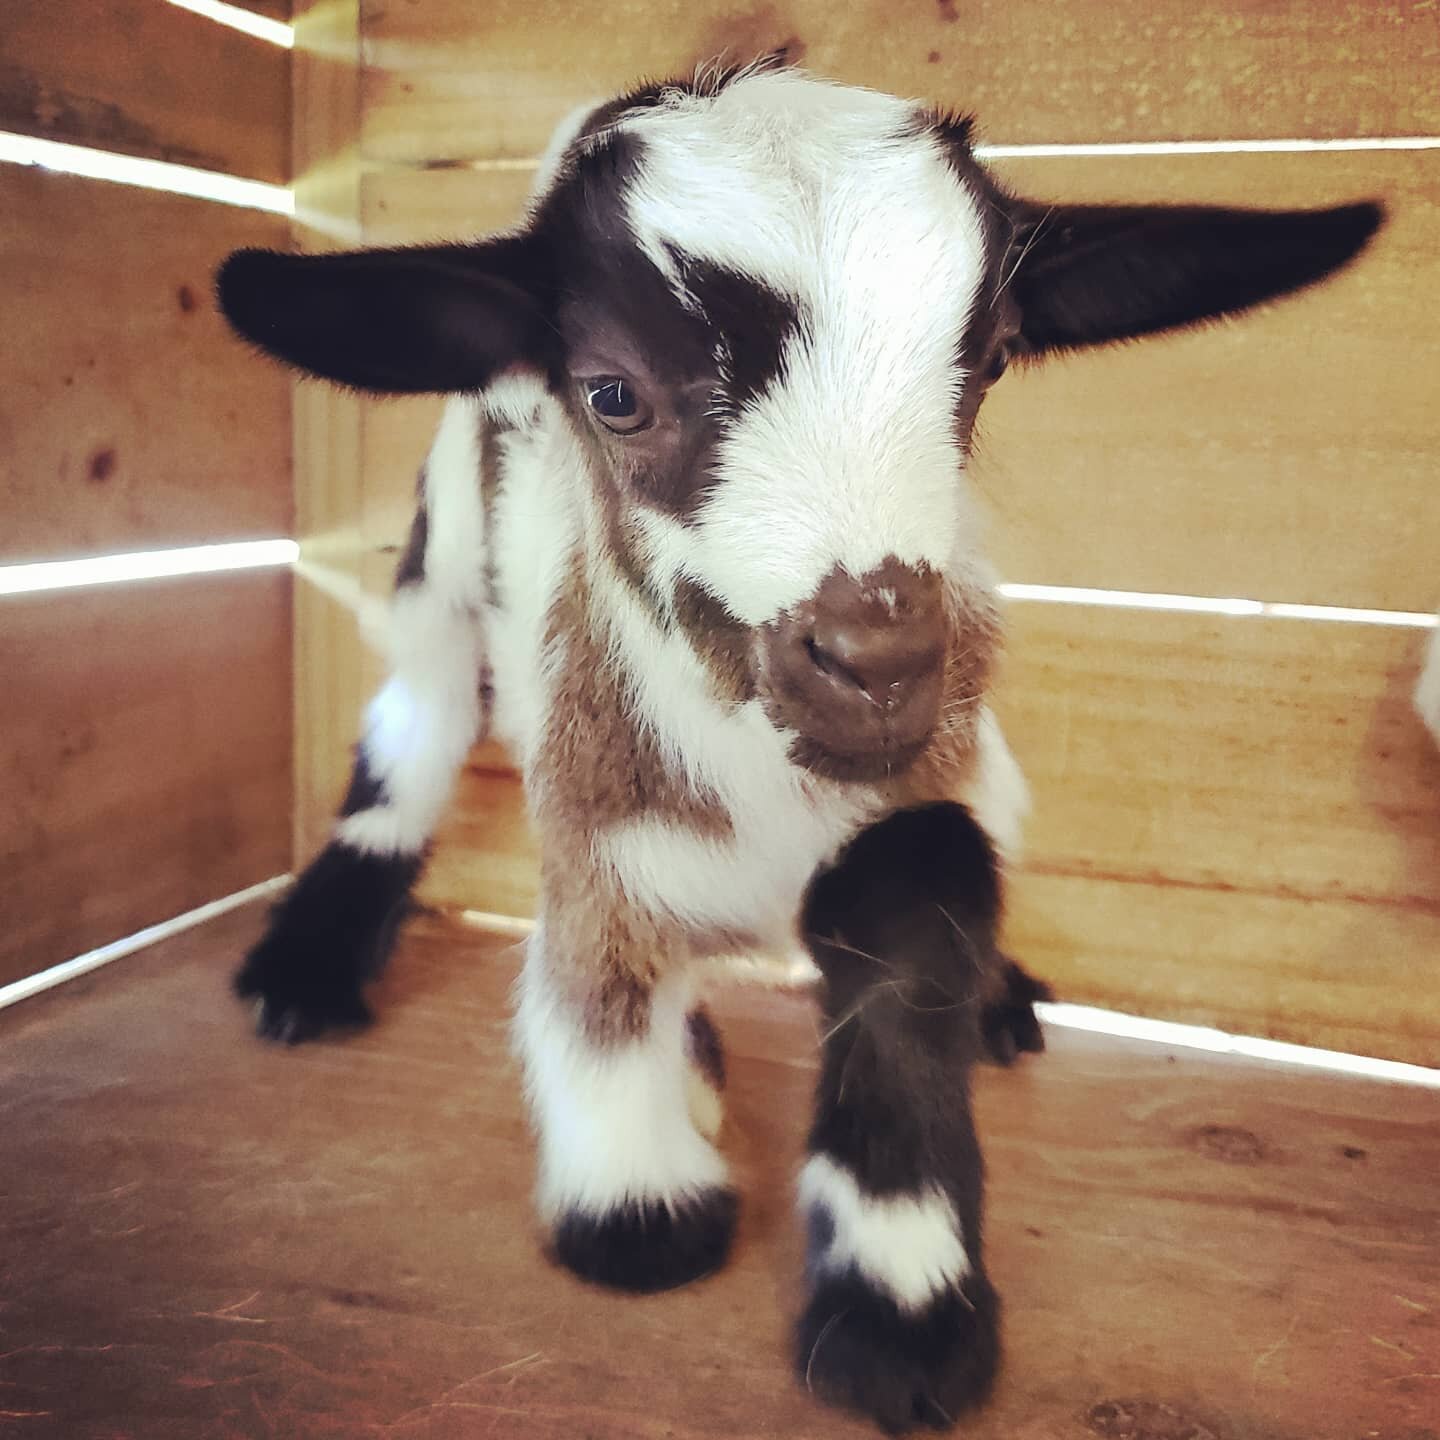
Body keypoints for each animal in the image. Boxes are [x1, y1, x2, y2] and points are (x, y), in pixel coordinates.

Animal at [216, 64, 1382, 1428]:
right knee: (420, 709)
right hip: (450, 543)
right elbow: (606, 969)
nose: (877, 662)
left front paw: (901, 1299)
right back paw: (312, 964)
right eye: (613, 393)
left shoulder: (929, 776)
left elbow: (918, 911)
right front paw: (632, 1172)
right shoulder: (594, 777)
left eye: (990, 360)